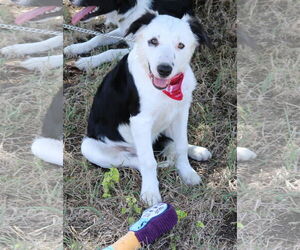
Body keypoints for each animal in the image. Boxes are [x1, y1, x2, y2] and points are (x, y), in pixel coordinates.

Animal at [63, 0, 195, 71]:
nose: (68, 1)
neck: (132, 7)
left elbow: (110, 52)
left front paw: (88, 62)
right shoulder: (125, 31)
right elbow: (99, 37)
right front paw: (76, 48)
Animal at [81, 12, 212, 205]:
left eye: (181, 45)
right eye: (153, 41)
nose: (164, 69)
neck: (166, 88)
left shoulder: (181, 112)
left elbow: (181, 145)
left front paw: (187, 172)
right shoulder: (140, 121)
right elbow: (149, 162)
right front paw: (150, 192)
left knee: (170, 142)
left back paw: (196, 151)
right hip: (91, 147)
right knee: (138, 160)